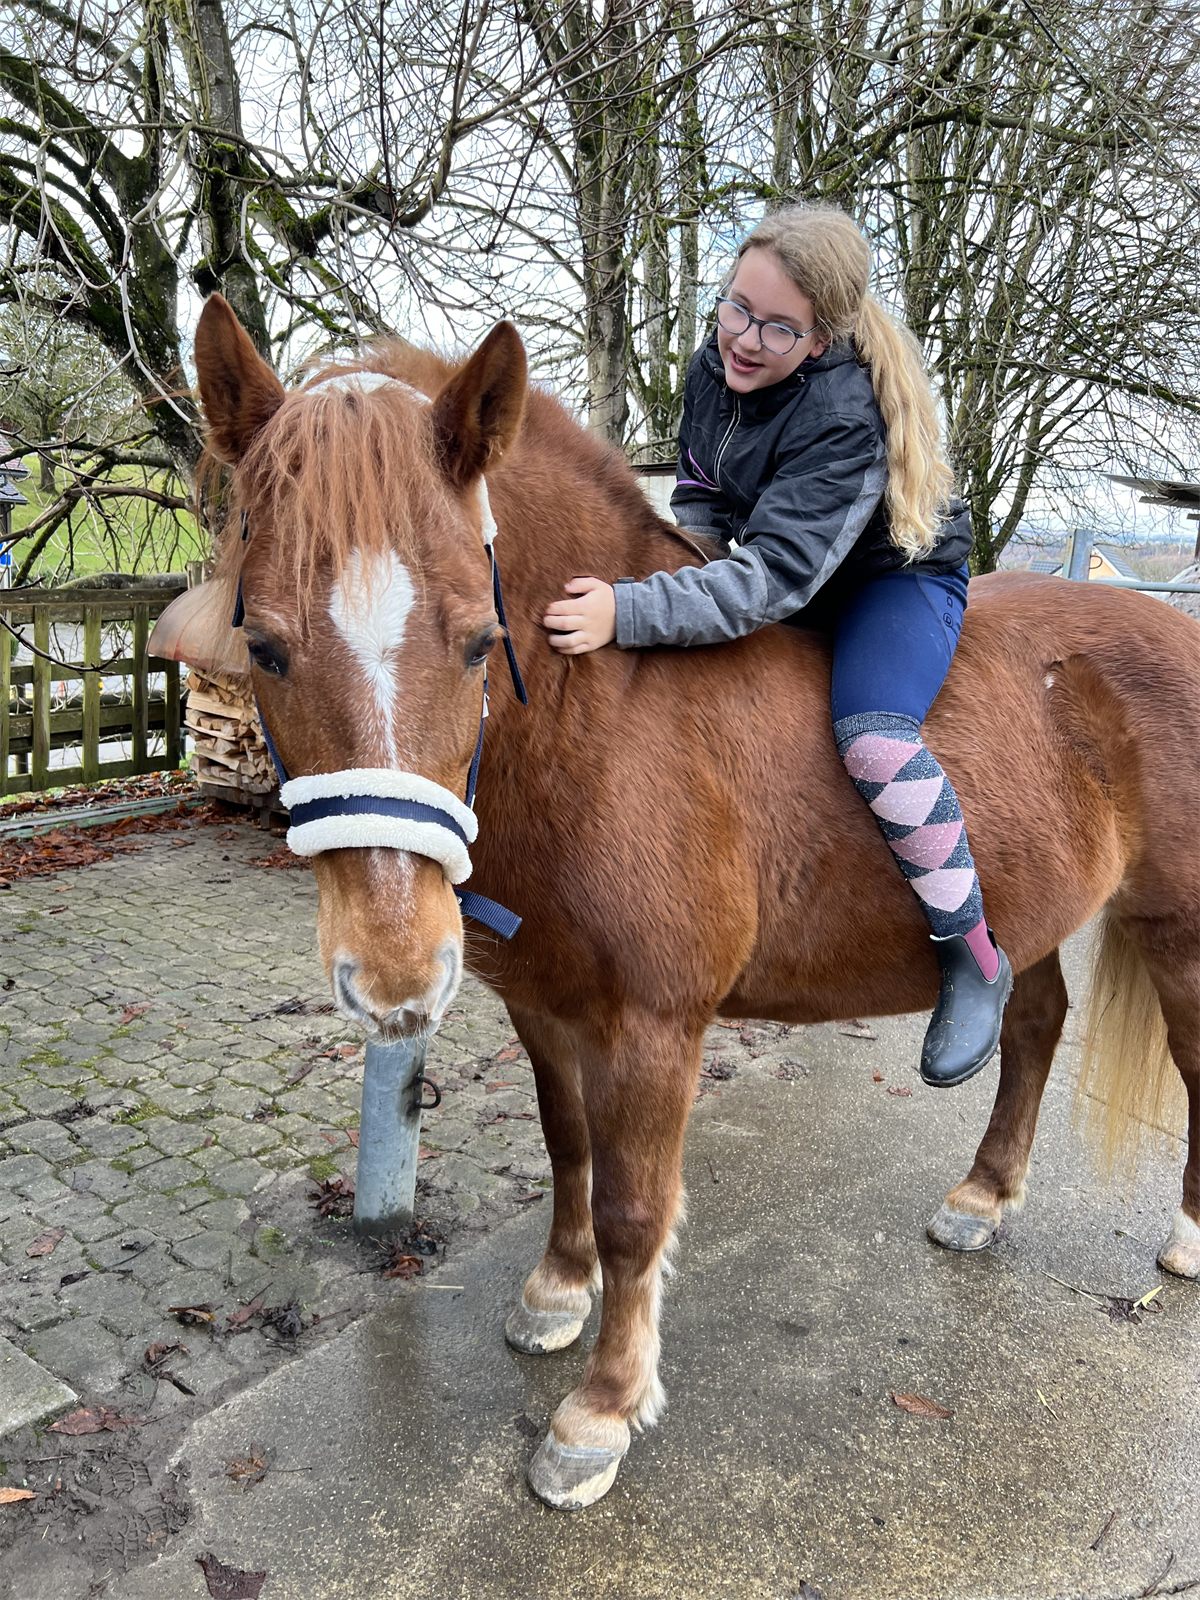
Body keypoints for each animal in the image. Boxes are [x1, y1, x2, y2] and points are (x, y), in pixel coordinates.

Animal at [182, 294, 1200, 1511]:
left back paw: (1185, 1236)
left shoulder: (653, 1026)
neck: (606, 715)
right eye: (264, 645)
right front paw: (556, 1291)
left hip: (1182, 931)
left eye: (480, 640)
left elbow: (634, 1208)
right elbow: (569, 1150)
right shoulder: (545, 1004)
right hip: (1028, 909)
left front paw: (603, 1409)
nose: (394, 976)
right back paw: (985, 1196)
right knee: (1033, 1021)